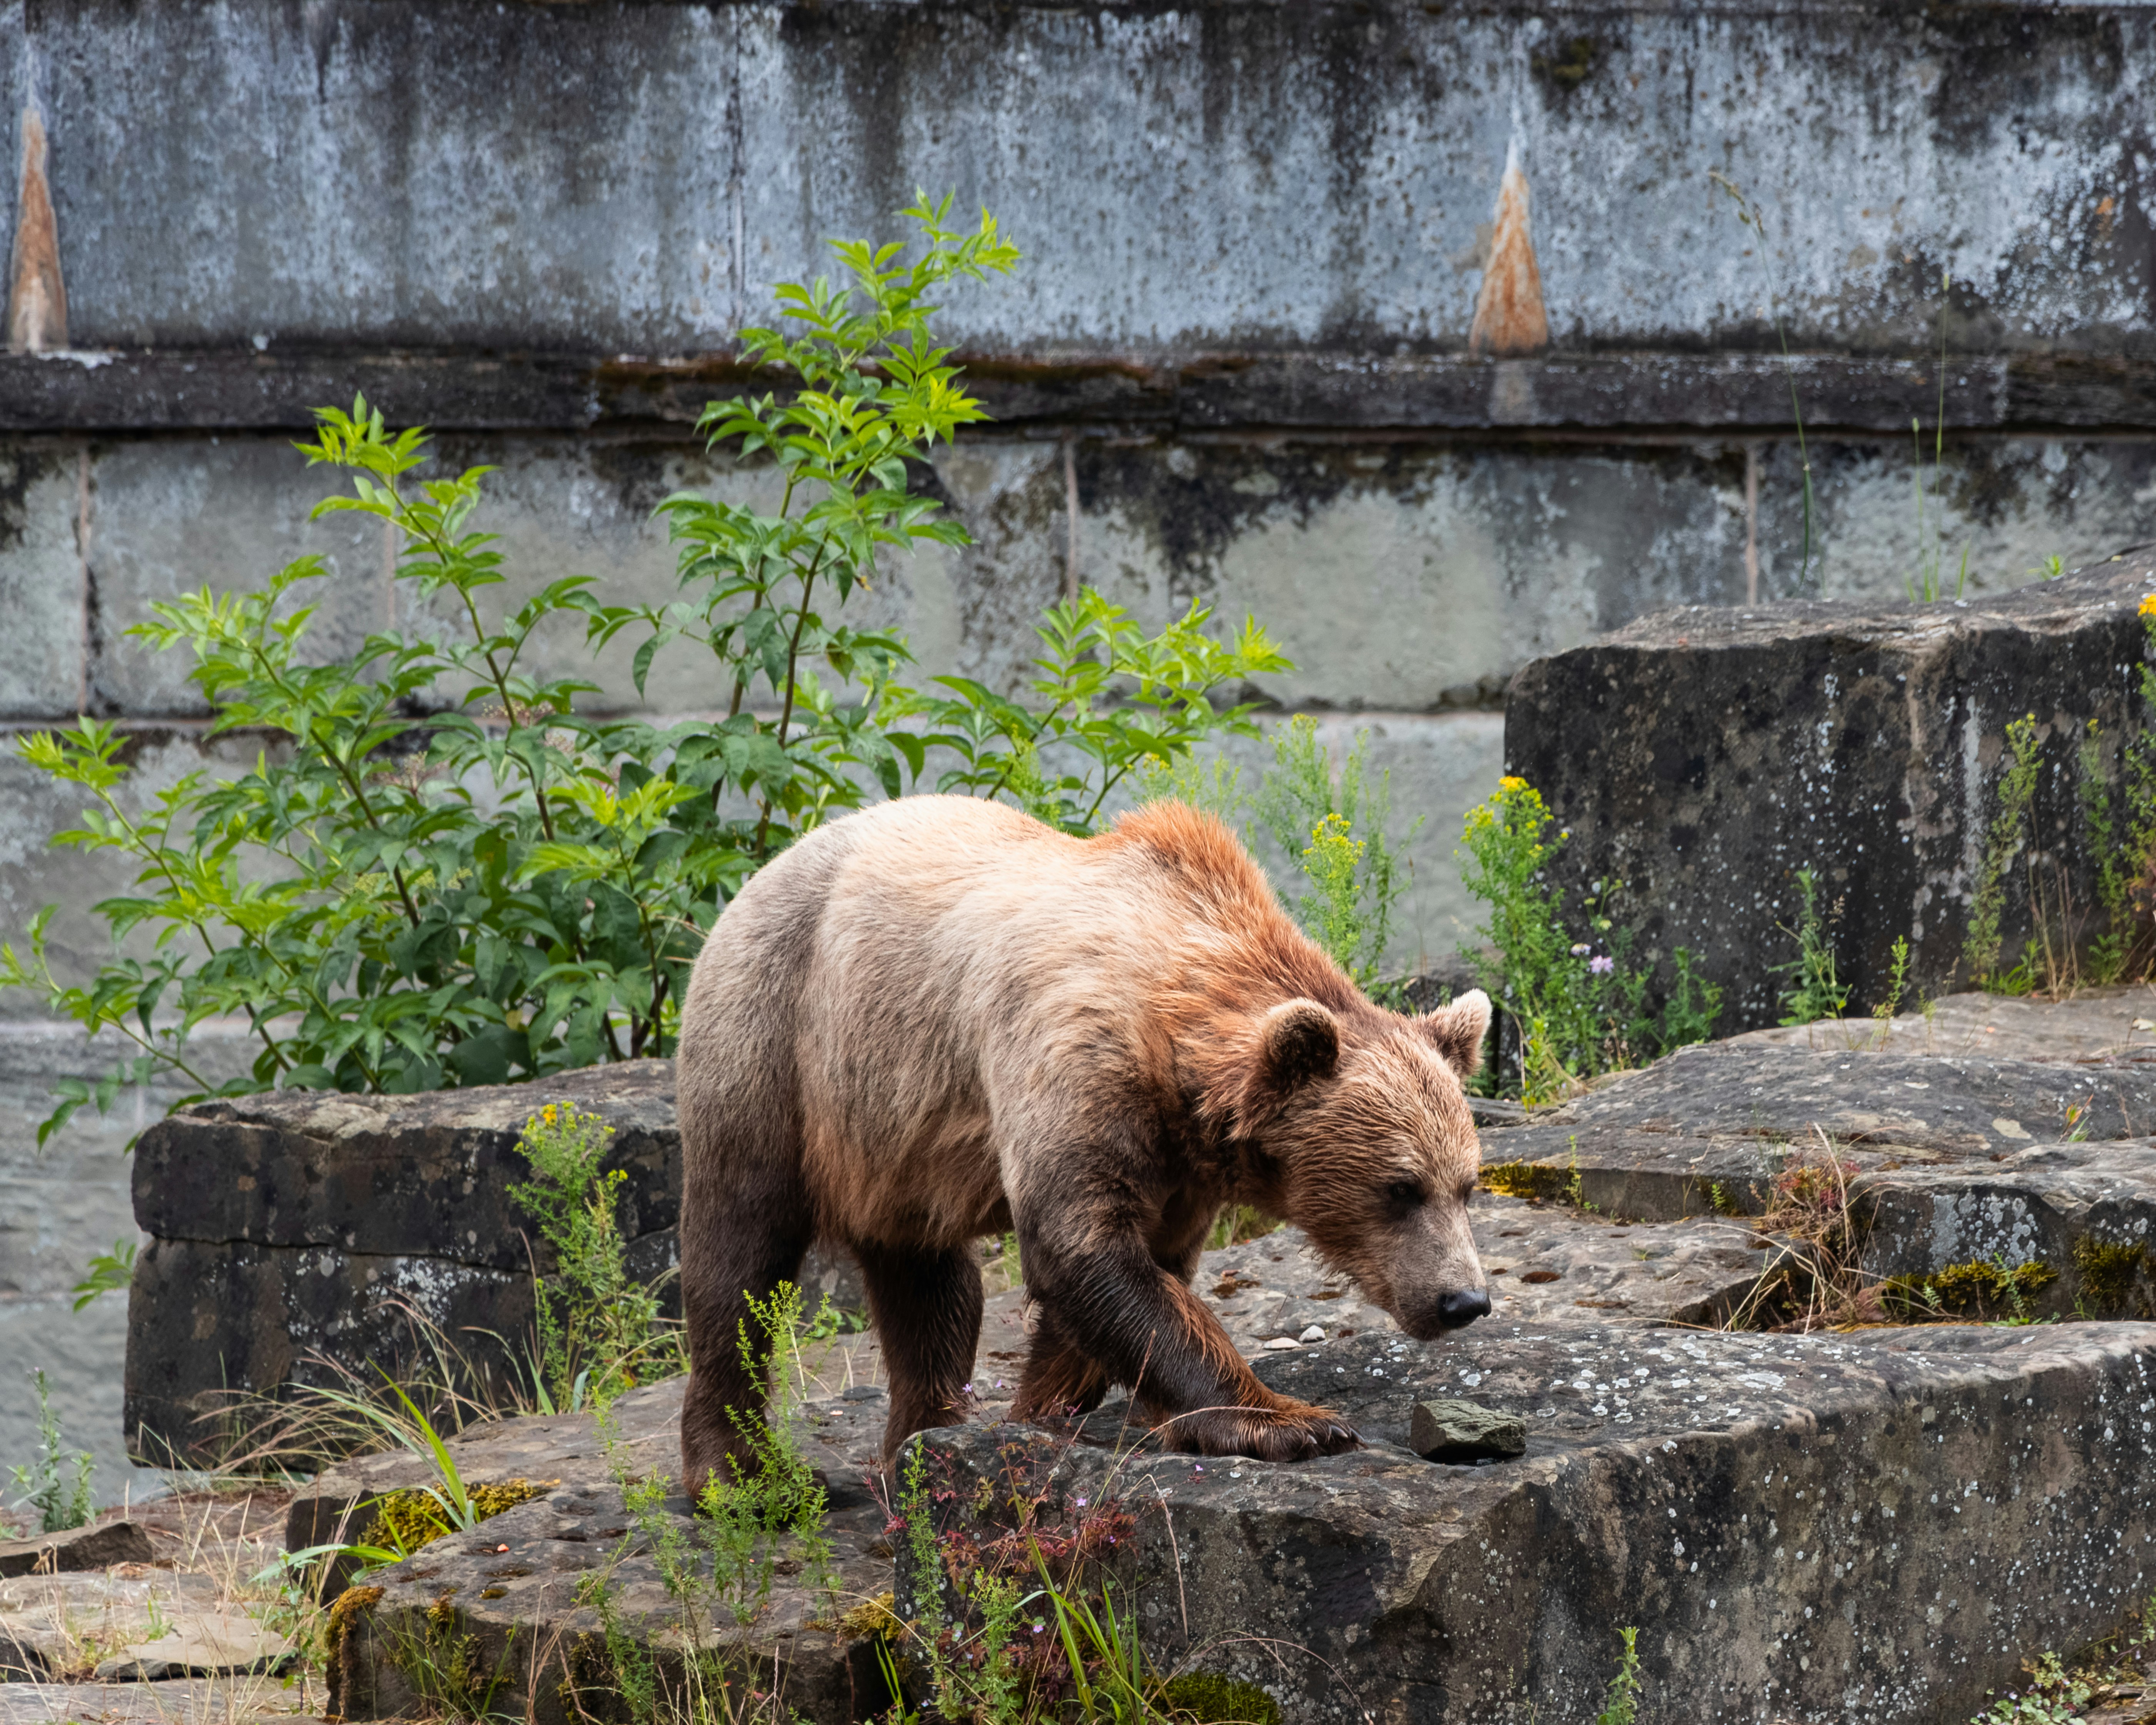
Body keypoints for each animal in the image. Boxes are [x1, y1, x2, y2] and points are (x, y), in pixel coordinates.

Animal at [675, 793, 1493, 1490]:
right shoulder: (1077, 1059)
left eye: (1466, 1184)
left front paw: (1040, 1409)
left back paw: (920, 1436)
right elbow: (1085, 1249)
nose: (1463, 1299)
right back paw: (739, 1472)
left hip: (892, 1138)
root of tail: (761, 872)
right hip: (773, 1037)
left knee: (930, 1282)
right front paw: (1293, 1422)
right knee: (739, 1258)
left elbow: (1136, 1271)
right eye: (1398, 1187)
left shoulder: (1177, 1164)